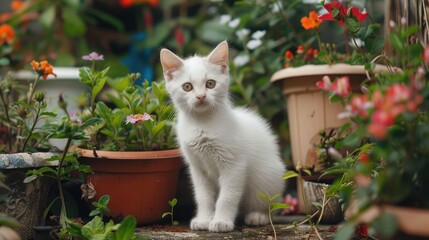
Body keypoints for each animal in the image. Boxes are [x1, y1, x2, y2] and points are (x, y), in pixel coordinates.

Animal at [160, 41, 284, 232]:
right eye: (187, 86)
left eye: (210, 83)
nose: (201, 96)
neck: (202, 124)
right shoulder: (197, 168)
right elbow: (203, 196)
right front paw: (204, 219)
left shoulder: (234, 165)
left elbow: (227, 196)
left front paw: (221, 221)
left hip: (267, 177)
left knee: (267, 203)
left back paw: (257, 216)